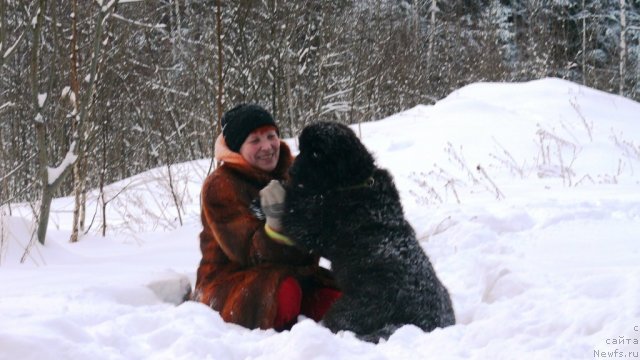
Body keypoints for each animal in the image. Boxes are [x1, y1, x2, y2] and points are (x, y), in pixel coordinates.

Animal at [282, 121, 456, 344]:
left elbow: (295, 213)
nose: (292, 171)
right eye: (302, 149)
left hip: (350, 310)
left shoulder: (313, 229)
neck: (354, 182)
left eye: (316, 153)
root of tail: (434, 325)